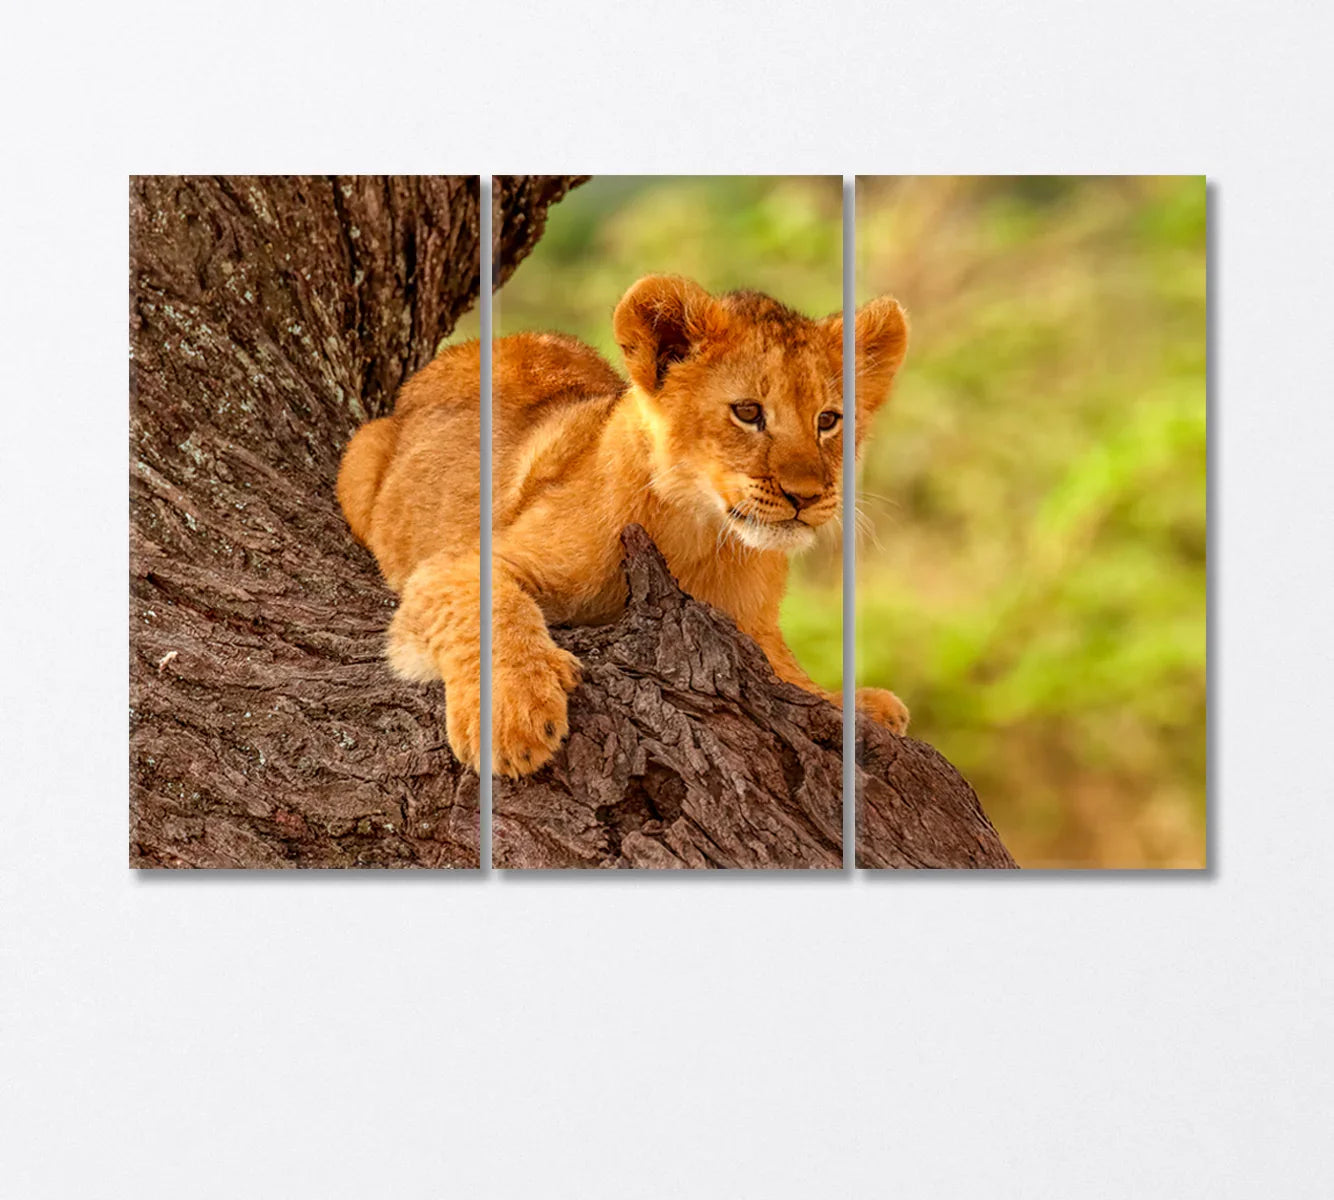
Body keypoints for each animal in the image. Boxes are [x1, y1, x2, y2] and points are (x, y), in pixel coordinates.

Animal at [337, 275, 909, 776]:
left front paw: (856, 703)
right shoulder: (454, 564)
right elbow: (493, 607)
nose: (806, 496)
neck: (701, 538)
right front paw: (513, 716)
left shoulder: (756, 628)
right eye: (748, 412)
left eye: (828, 420)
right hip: (360, 455)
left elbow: (789, 673)